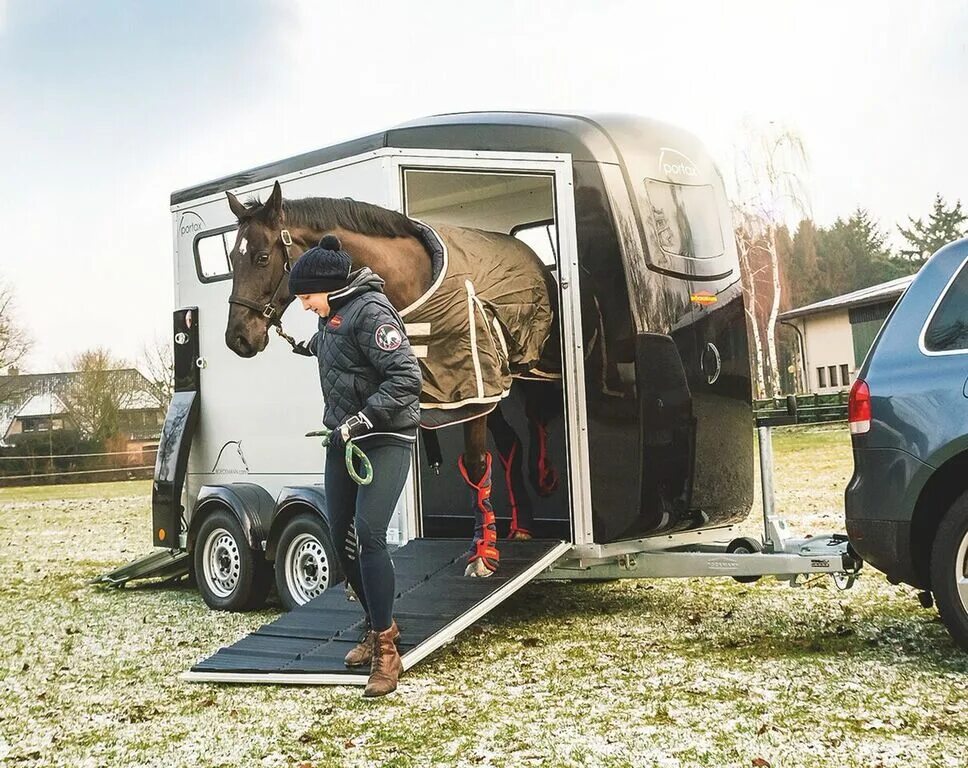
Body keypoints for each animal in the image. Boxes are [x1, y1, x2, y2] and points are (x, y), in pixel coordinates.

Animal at [223, 180, 564, 576]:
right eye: (232, 258)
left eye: (262, 257)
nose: (238, 338)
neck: (411, 284)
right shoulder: (461, 396)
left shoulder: (472, 388)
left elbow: (476, 463)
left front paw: (483, 555)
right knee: (511, 443)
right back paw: (522, 525)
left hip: (526, 370)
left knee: (535, 417)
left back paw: (543, 480)